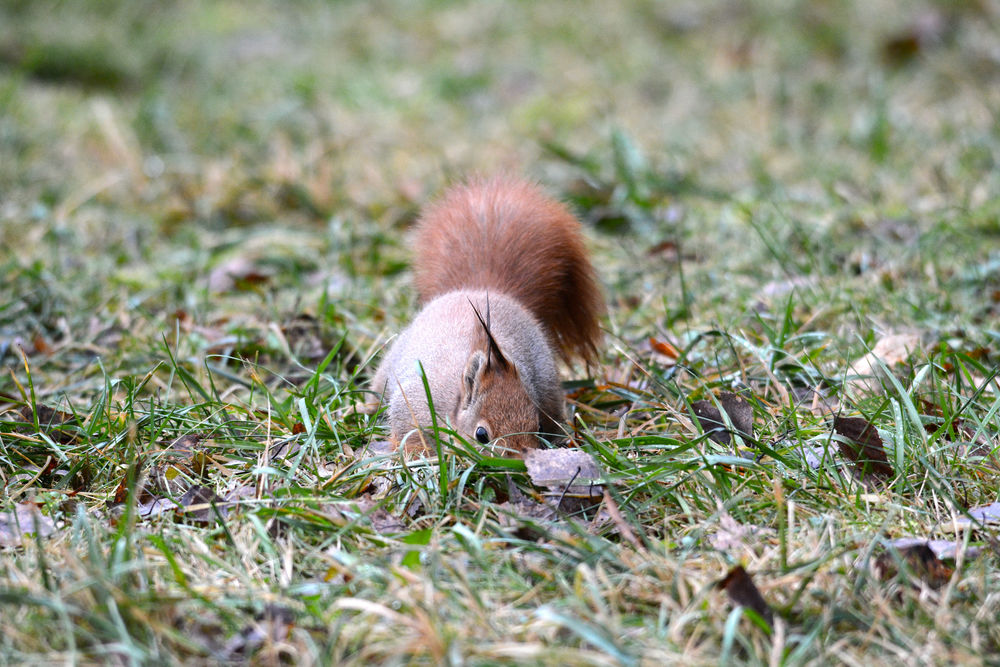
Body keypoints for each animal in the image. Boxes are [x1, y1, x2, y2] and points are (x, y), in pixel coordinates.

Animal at [374, 175, 600, 456]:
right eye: (481, 435)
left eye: (537, 426)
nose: (520, 458)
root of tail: (482, 288)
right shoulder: (413, 408)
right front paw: (420, 452)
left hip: (548, 384)